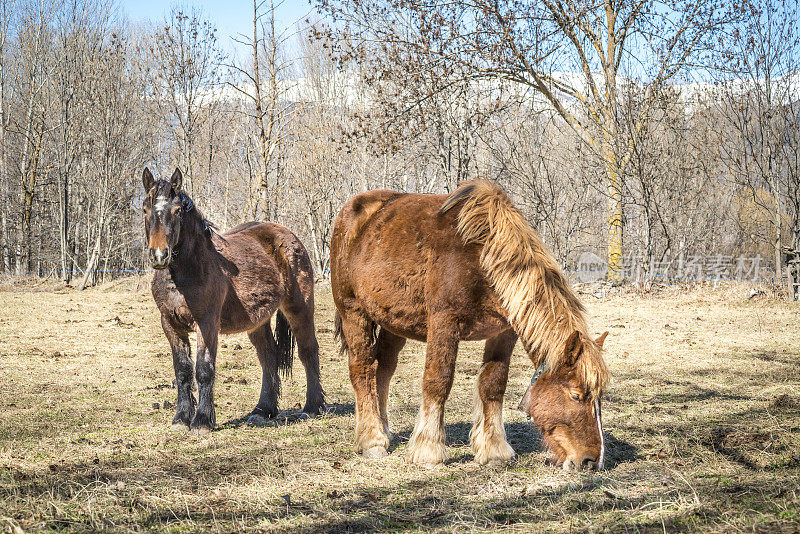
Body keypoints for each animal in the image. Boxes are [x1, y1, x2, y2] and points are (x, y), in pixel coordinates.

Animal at [142, 170, 324, 438]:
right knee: (268, 356)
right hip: (258, 321)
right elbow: (182, 370)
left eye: (176, 211)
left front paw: (202, 421)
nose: (159, 255)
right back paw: (262, 411)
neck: (185, 273)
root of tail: (287, 235)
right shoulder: (170, 325)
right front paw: (181, 419)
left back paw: (312, 408)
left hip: (299, 308)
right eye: (145, 209)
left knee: (308, 351)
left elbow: (203, 369)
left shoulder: (206, 324)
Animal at [332, 182, 612, 472]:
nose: (593, 461)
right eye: (576, 395)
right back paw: (371, 440)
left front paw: (494, 450)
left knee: (384, 369)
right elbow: (438, 381)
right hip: (354, 312)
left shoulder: (504, 333)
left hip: (393, 323)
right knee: (362, 368)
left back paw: (383, 430)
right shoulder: (444, 324)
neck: (483, 256)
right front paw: (428, 450)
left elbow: (493, 384)